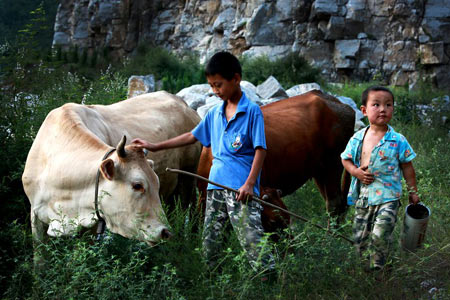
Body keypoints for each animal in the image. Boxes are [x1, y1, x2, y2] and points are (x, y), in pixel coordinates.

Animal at [22, 91, 201, 246]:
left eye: (155, 182)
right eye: (137, 185)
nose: (165, 232)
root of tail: (183, 103)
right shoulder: (35, 214)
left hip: (189, 177)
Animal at [197, 90, 356, 231]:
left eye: (287, 219)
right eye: (273, 222)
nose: (290, 246)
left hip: (333, 165)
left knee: (335, 204)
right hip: (319, 171)